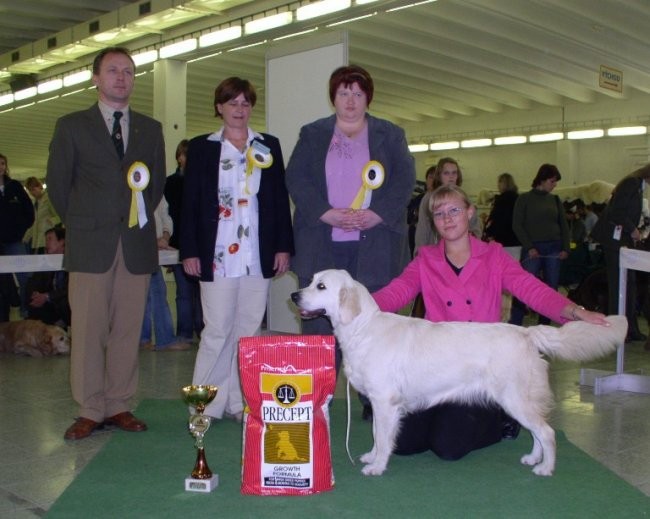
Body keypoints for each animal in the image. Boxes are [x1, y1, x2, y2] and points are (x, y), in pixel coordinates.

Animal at [290, 270, 624, 478]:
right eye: (311, 281)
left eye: (321, 287)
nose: (293, 295)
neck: (362, 329)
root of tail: (526, 333)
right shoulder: (378, 403)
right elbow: (375, 435)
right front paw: (372, 457)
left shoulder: (385, 402)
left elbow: (383, 438)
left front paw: (377, 466)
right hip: (518, 400)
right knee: (539, 432)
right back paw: (533, 458)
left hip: (514, 398)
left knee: (548, 432)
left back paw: (545, 468)